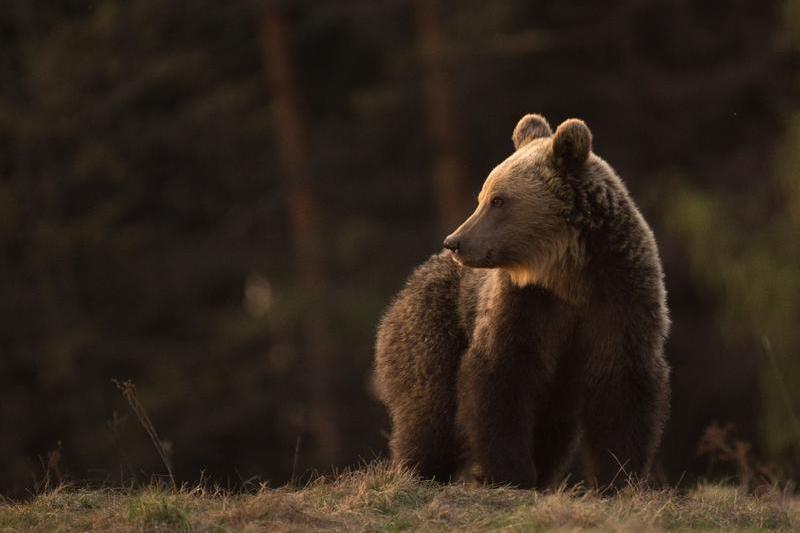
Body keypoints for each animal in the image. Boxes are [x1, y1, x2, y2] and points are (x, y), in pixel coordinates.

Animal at [376, 114, 668, 488]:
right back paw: (417, 471)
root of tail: (408, 285)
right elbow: (501, 377)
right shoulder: (523, 305)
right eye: (482, 196)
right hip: (434, 328)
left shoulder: (620, 297)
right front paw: (510, 473)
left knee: (551, 429)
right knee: (430, 413)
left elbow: (622, 387)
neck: (567, 275)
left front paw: (617, 477)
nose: (454, 241)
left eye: (498, 200)